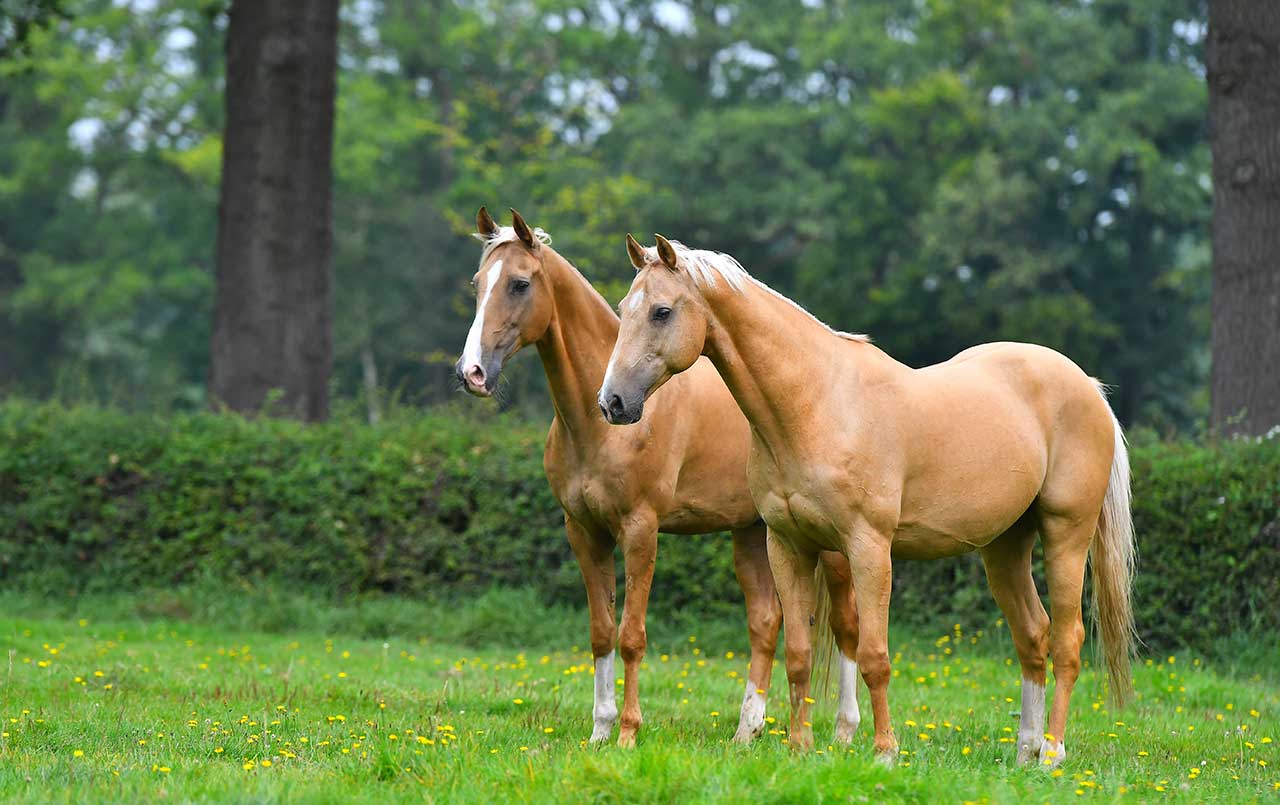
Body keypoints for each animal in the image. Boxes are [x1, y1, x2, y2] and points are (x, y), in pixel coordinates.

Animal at [450, 208, 860, 747]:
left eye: (520, 284)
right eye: (478, 284)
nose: (472, 373)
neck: (596, 426)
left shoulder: (640, 530)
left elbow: (631, 636)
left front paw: (627, 732)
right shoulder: (584, 532)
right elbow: (601, 631)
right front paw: (600, 731)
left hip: (828, 547)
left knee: (849, 624)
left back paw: (845, 732)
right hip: (751, 533)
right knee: (765, 621)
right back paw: (745, 731)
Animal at [601, 234, 1141, 767]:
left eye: (662, 312)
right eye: (625, 308)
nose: (612, 403)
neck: (817, 403)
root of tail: (1088, 388)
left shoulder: (869, 548)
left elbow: (875, 657)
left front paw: (884, 752)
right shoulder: (788, 546)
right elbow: (798, 655)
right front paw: (799, 748)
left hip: (1066, 535)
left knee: (1067, 642)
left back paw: (1052, 754)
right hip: (1005, 546)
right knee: (1032, 635)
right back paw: (1026, 753)